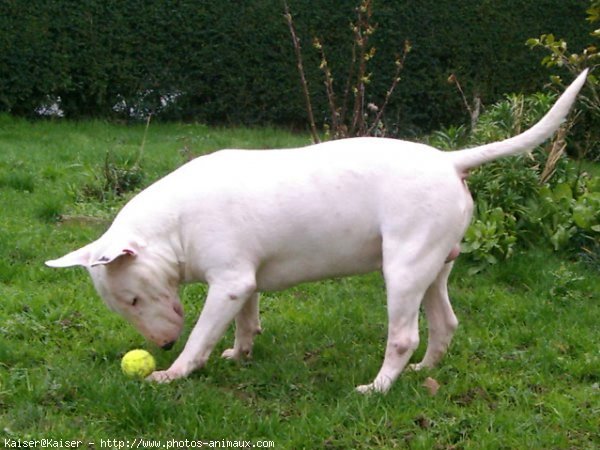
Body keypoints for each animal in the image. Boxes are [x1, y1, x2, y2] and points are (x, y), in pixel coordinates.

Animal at [45, 69, 584, 390]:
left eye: (133, 299)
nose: (159, 349)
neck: (175, 224)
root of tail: (449, 160)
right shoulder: (244, 281)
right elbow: (246, 321)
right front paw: (239, 355)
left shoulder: (228, 283)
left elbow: (201, 335)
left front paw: (175, 373)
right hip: (435, 265)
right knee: (445, 323)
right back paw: (423, 372)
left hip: (404, 267)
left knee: (403, 335)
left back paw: (379, 387)